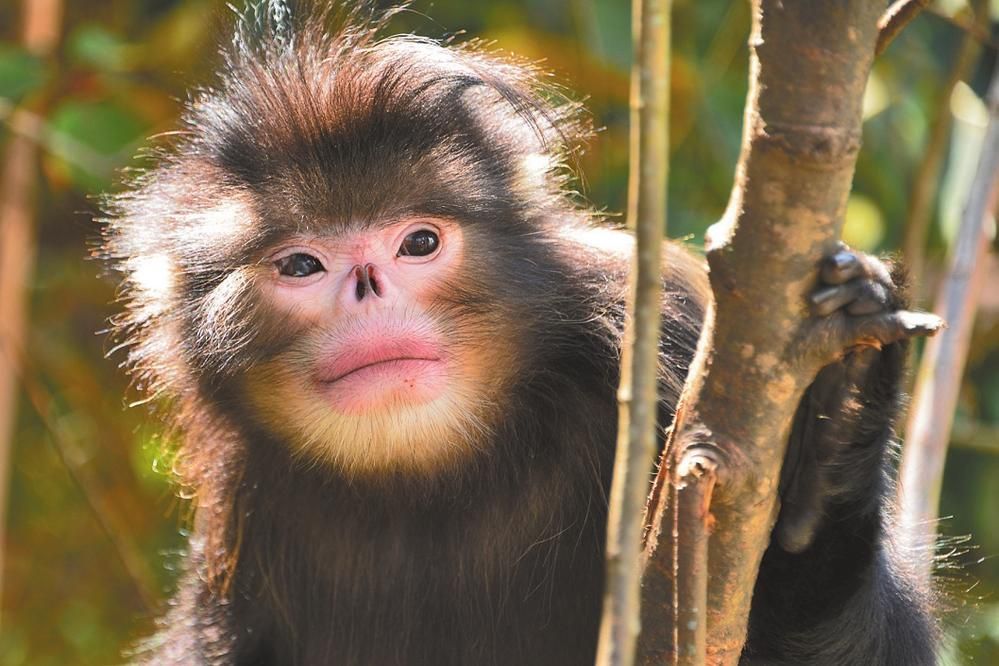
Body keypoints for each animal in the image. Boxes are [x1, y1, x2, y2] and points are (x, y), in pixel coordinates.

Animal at [101, 2, 936, 660]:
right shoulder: (238, 515)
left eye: (418, 243)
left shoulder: (666, 337)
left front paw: (834, 431)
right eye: (302, 264)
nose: (367, 293)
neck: (434, 482)